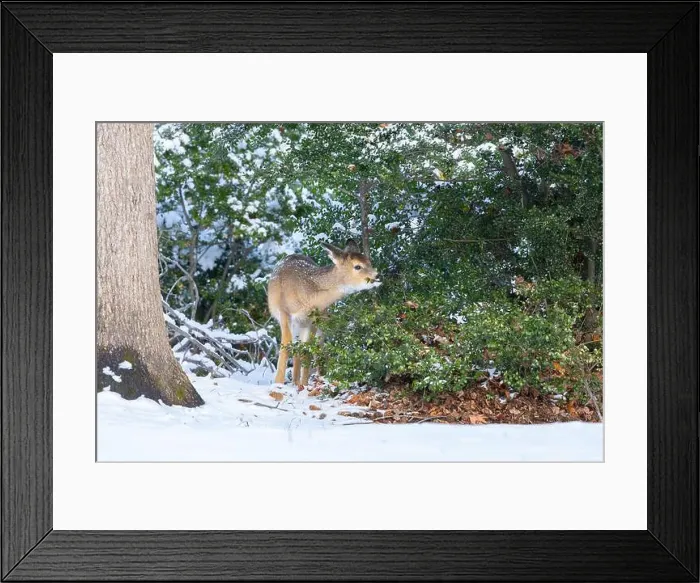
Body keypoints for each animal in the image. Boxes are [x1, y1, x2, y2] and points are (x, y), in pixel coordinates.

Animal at [267, 238, 380, 387]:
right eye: (357, 266)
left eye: (369, 261)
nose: (377, 276)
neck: (307, 295)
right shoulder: (284, 312)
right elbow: (285, 348)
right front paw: (278, 383)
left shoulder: (315, 318)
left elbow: (307, 351)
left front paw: (303, 384)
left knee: (313, 349)